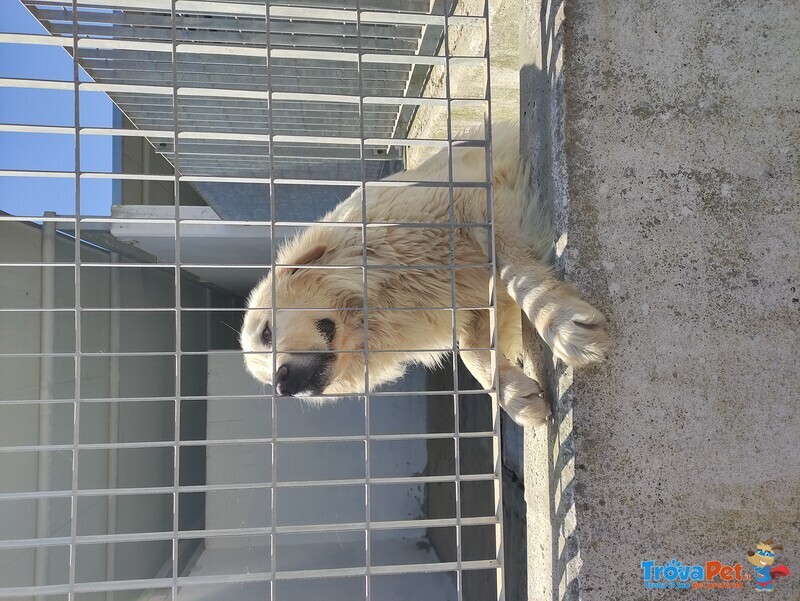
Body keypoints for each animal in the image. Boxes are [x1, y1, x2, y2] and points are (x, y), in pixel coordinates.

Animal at [239, 122, 608, 424]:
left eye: (267, 333)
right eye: (267, 378)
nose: (282, 386)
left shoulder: (478, 199)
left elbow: (516, 274)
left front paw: (558, 322)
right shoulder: (469, 303)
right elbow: (470, 350)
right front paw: (515, 396)